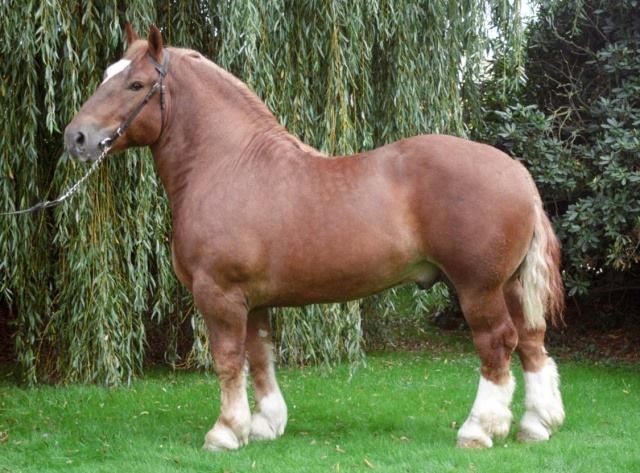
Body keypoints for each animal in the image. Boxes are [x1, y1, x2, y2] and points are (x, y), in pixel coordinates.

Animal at [63, 25, 564, 450]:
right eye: (107, 75)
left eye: (135, 84)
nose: (76, 137)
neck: (227, 165)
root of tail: (517, 172)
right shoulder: (253, 301)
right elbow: (259, 356)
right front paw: (264, 425)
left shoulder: (218, 293)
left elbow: (228, 358)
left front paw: (225, 432)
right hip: (511, 286)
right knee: (532, 341)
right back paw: (535, 425)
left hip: (478, 288)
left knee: (497, 344)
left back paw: (478, 430)